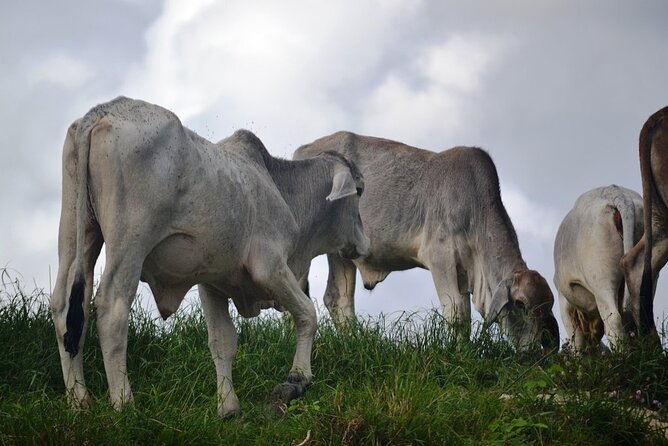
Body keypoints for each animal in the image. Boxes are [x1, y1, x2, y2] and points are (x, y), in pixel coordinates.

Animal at [49, 97, 368, 418]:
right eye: (360, 191)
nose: (365, 243)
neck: (281, 188)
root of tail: (101, 112)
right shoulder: (270, 267)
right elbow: (307, 314)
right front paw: (298, 378)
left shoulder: (212, 282)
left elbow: (222, 341)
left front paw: (228, 408)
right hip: (129, 241)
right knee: (111, 307)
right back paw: (124, 405)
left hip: (77, 232)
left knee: (66, 308)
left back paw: (79, 402)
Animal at [294, 132, 560, 352]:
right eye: (521, 304)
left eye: (547, 308)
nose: (539, 351)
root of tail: (303, 150)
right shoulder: (439, 257)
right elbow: (456, 315)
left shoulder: (462, 273)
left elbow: (464, 315)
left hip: (341, 254)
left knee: (338, 299)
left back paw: (356, 342)